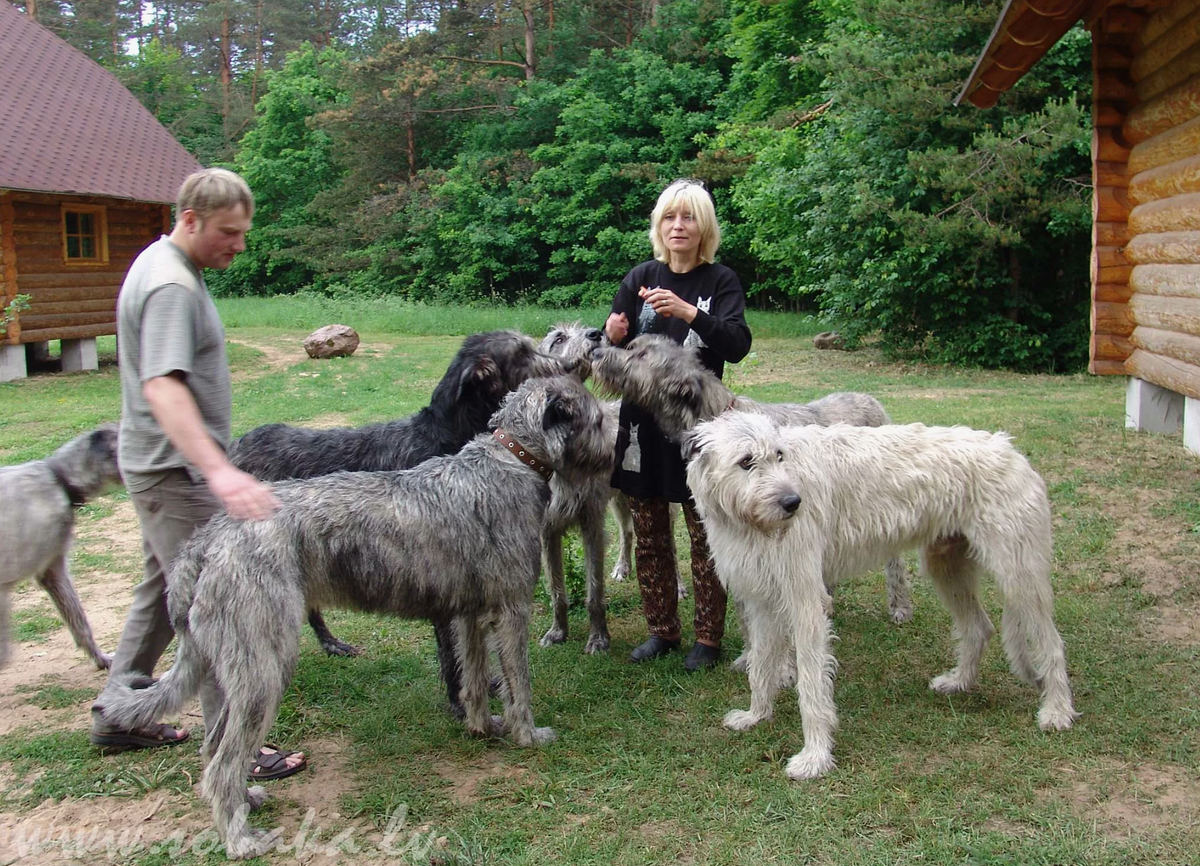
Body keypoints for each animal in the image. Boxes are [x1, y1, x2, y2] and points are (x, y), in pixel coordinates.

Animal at [96, 376, 609, 858]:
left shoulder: (467, 613)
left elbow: (473, 677)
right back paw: (240, 838)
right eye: (597, 418)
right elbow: (519, 682)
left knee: (212, 746)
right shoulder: (511, 609)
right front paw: (529, 733)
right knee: (222, 762)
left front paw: (482, 725)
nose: (616, 444)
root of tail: (210, 538)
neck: (512, 458)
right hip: (265, 665)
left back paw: (247, 798)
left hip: (241, 665)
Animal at [595, 333, 912, 628]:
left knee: (895, 556)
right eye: (632, 345)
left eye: (641, 354)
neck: (717, 421)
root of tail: (873, 401)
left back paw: (899, 604)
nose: (597, 351)